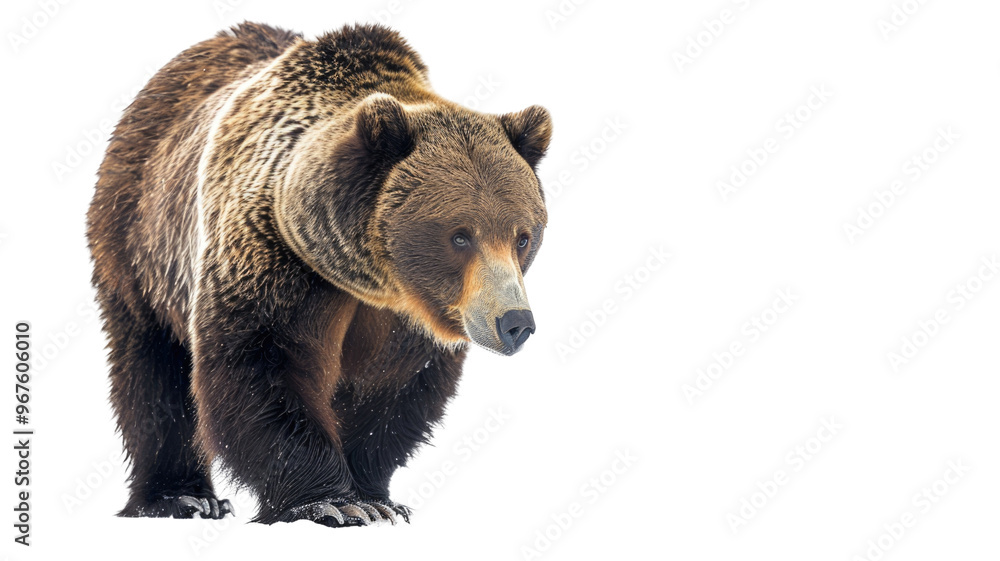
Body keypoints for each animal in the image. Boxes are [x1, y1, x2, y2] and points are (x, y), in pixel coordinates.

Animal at [86, 22, 550, 526]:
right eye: (460, 236)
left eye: (522, 236)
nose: (514, 322)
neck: (364, 278)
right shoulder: (274, 262)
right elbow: (265, 369)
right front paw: (330, 502)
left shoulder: (407, 317)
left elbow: (389, 391)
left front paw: (377, 498)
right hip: (140, 243)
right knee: (154, 372)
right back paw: (180, 497)